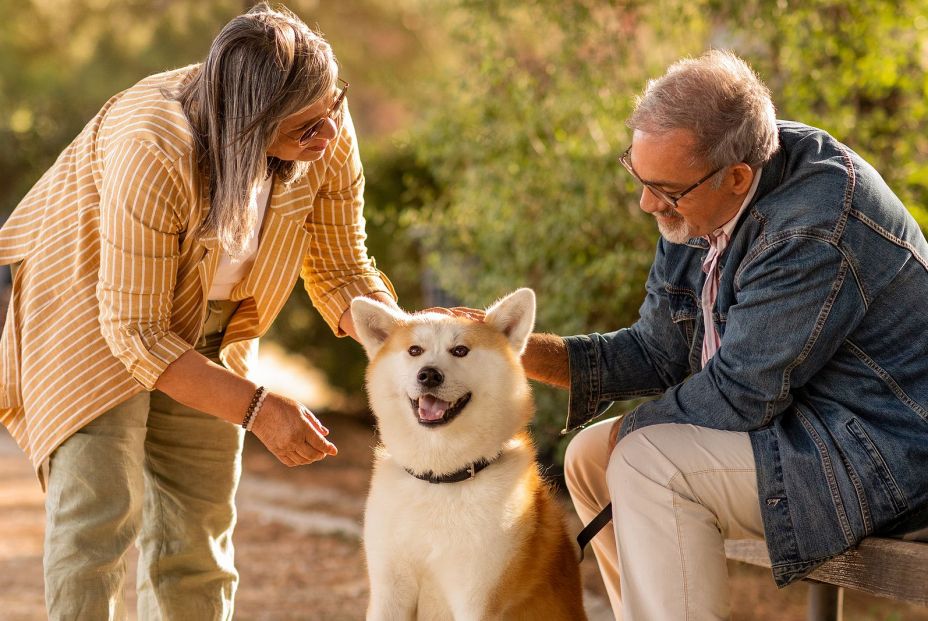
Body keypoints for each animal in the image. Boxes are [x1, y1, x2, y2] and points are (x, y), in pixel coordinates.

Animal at [352, 290, 584, 620]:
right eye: (414, 350)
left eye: (460, 350)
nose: (429, 375)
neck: (440, 478)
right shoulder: (388, 592)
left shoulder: (478, 597)